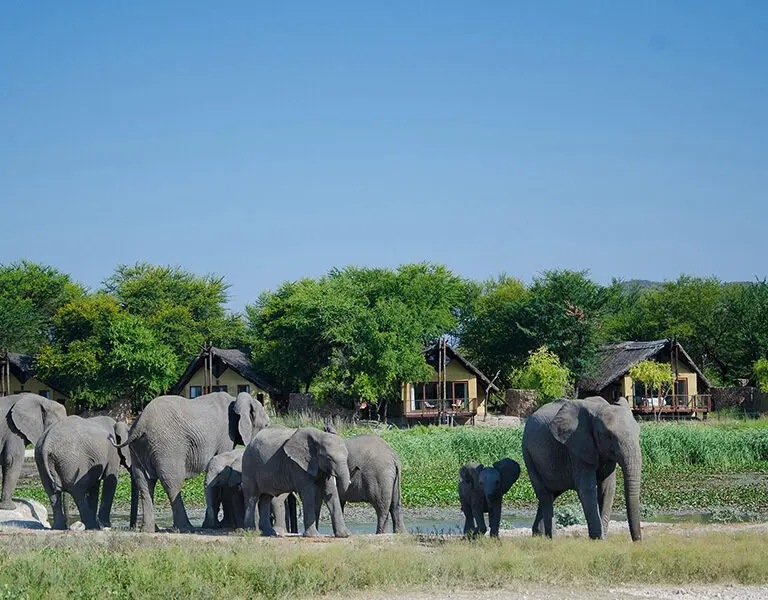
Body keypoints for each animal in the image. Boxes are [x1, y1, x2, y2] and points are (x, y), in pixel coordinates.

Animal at [114, 391, 269, 532]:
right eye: (266, 425)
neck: (235, 399)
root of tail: (140, 423)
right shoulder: (226, 435)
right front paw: (222, 525)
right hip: (168, 447)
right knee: (172, 482)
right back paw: (185, 528)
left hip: (138, 448)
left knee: (144, 483)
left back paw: (149, 530)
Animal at [522, 397, 642, 541]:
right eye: (608, 436)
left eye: (638, 433)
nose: (638, 541)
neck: (600, 409)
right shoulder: (576, 447)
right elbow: (587, 489)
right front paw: (598, 539)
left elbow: (607, 489)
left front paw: (603, 538)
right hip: (528, 455)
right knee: (544, 494)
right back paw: (553, 538)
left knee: (551, 494)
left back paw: (539, 535)